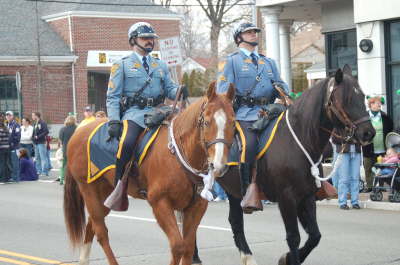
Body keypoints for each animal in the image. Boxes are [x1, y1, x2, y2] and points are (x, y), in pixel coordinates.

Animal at [64, 82, 236, 264]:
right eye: (207, 122)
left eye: (233, 123)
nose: (218, 165)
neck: (178, 153)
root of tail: (78, 131)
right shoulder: (160, 203)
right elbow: (178, 246)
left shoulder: (196, 207)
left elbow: (188, 248)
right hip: (89, 190)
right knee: (101, 232)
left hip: (104, 195)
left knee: (92, 226)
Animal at [195, 65, 376, 264]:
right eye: (346, 99)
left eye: (363, 96)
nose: (368, 133)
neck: (299, 139)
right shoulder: (286, 198)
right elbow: (294, 237)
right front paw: (290, 257)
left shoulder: (306, 196)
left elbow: (315, 235)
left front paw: (286, 258)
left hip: (233, 192)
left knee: (234, 221)